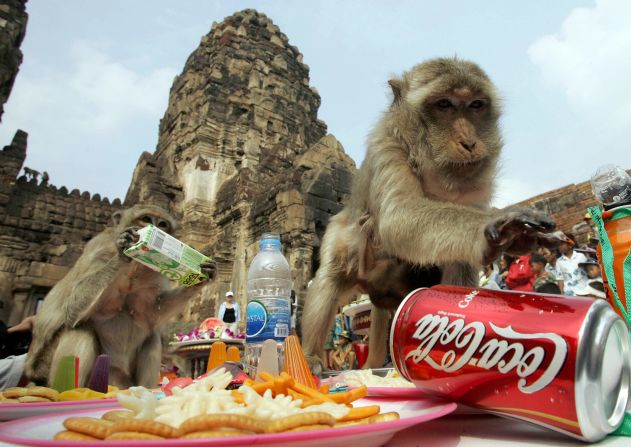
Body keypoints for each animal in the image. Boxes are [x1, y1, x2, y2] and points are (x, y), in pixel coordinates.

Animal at [26, 205, 217, 390]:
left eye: (163, 224)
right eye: (146, 218)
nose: (155, 226)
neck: (134, 266)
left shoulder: (152, 273)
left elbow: (150, 314)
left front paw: (202, 276)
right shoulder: (99, 248)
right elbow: (72, 308)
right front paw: (123, 249)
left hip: (122, 379)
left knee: (152, 338)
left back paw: (146, 389)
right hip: (50, 368)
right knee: (80, 329)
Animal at [302, 57, 556, 370]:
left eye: (475, 105)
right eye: (444, 104)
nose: (469, 142)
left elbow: (460, 259)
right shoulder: (387, 145)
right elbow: (398, 217)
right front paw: (500, 221)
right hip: (343, 238)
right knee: (330, 276)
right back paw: (310, 356)